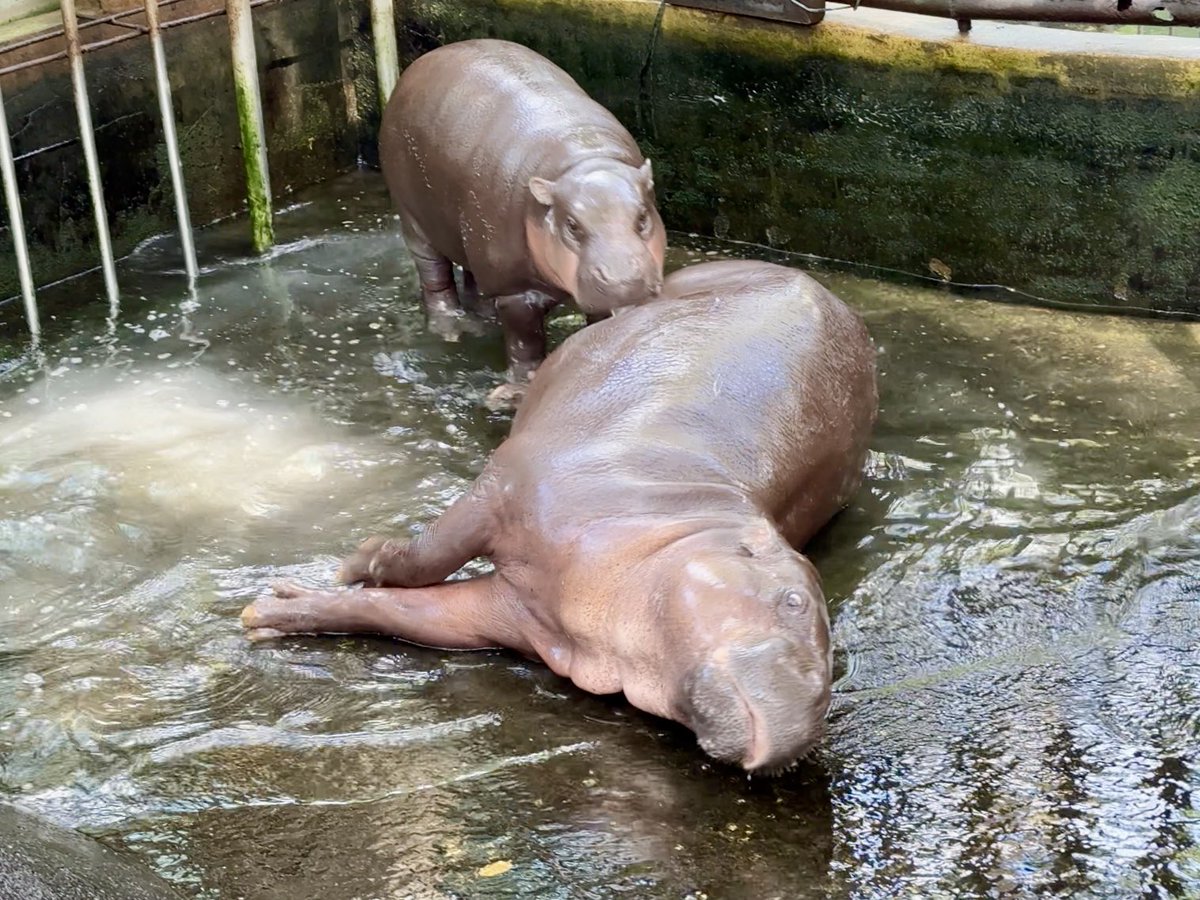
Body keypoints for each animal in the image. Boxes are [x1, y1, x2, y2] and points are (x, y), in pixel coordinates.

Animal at [242, 260, 878, 772]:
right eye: (794, 601)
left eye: (833, 648)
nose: (816, 705)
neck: (674, 522)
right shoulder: (503, 493)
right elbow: (426, 554)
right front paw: (351, 567)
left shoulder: (505, 615)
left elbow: (402, 612)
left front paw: (278, 607)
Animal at [379, 38, 667, 407]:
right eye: (572, 225)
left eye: (643, 216)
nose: (623, 279)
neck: (585, 160)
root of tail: (420, 62)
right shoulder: (515, 291)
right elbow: (524, 342)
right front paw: (517, 390)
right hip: (414, 221)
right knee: (434, 277)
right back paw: (450, 329)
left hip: (471, 235)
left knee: (474, 280)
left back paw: (481, 321)